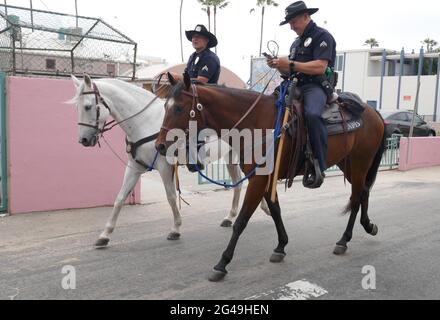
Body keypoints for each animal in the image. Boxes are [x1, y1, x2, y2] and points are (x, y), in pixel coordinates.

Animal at [69, 74, 268, 248]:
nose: (83, 140)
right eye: (78, 107)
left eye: (88, 106)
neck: (144, 122)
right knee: (238, 183)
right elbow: (119, 198)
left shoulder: (164, 167)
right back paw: (231, 216)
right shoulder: (134, 167)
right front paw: (105, 234)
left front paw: (176, 228)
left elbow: (171, 197)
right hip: (231, 158)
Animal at [156, 73, 384, 282]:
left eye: (178, 108)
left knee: (356, 198)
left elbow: (242, 220)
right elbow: (275, 210)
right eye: (165, 106)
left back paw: (343, 240)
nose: (160, 146)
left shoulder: (258, 180)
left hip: (360, 162)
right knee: (363, 192)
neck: (255, 123)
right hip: (348, 164)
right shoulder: (264, 178)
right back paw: (368, 225)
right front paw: (281, 246)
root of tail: (373, 111)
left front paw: (222, 263)